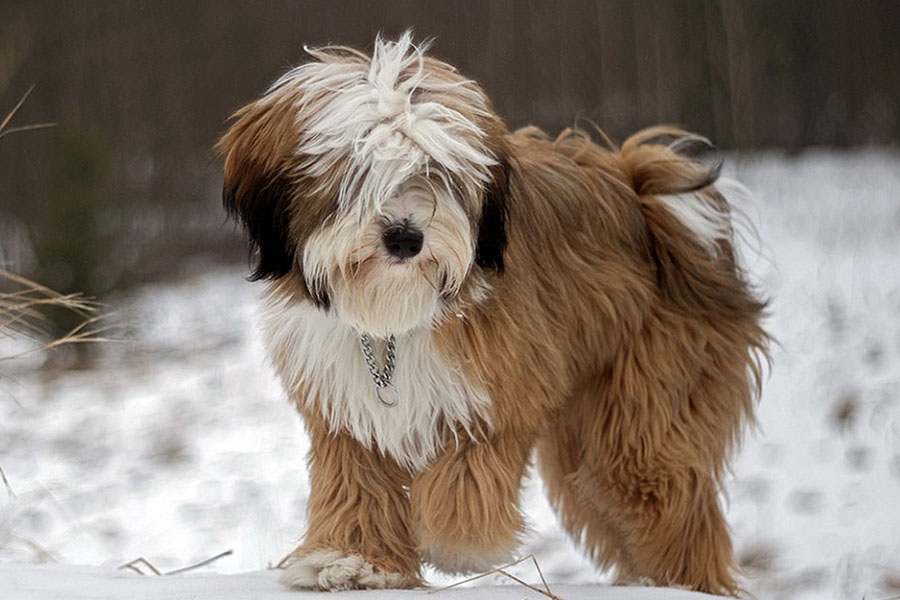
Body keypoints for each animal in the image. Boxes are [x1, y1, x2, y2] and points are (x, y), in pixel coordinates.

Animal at [216, 32, 768, 596]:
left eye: (435, 173)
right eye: (355, 170)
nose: (405, 238)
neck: (392, 320)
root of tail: (646, 197)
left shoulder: (500, 389)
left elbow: (468, 469)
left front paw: (458, 541)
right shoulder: (347, 410)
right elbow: (357, 483)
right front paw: (355, 561)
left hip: (650, 398)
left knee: (659, 493)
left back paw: (685, 583)